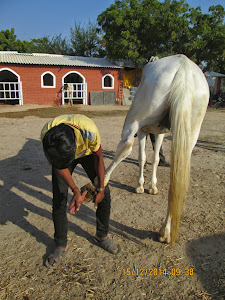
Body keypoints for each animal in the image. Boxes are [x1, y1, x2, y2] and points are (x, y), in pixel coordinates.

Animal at [104, 55, 209, 245]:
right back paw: (165, 231)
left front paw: (140, 186)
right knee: (177, 179)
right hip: (189, 135)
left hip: (134, 121)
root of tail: (183, 68)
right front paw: (152, 186)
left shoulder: (143, 131)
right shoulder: (159, 133)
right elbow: (155, 159)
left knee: (126, 145)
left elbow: (142, 157)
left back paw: (102, 181)